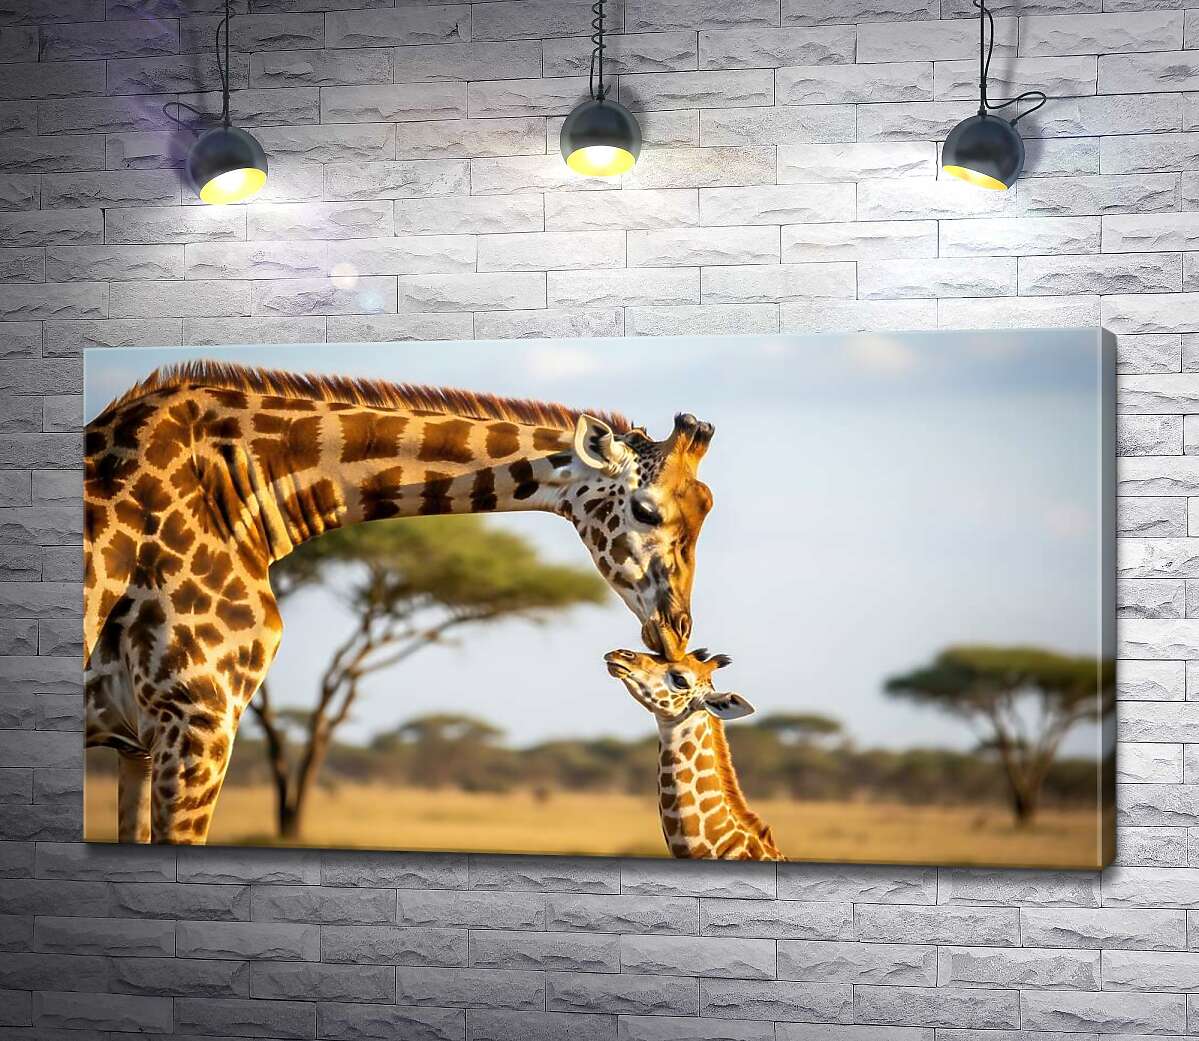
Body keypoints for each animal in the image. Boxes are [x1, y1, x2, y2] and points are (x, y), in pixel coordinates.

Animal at [84, 361, 716, 844]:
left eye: (705, 510)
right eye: (647, 511)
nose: (676, 629)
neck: (243, 488)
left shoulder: (138, 742)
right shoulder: (197, 716)